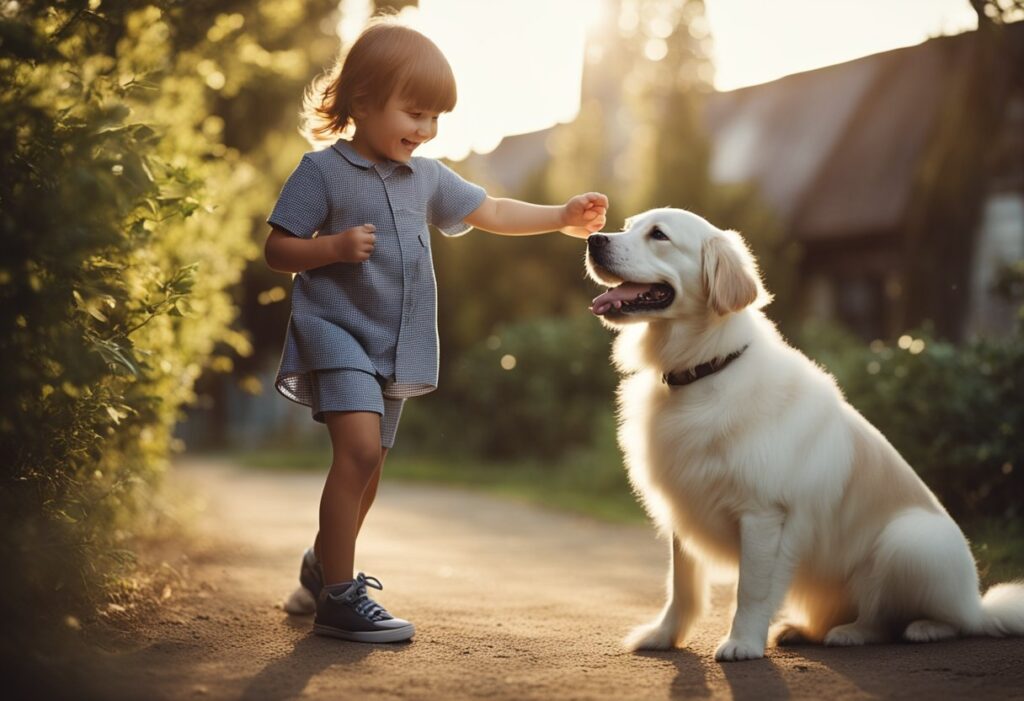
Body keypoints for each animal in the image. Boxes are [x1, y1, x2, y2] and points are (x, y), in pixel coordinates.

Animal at [585, 207, 1024, 663]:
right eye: (628, 225)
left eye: (659, 235)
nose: (594, 240)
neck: (706, 368)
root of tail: (976, 603)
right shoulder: (686, 502)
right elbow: (682, 587)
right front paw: (664, 635)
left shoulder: (762, 513)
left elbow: (751, 590)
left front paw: (742, 643)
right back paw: (804, 629)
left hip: (910, 540)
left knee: (906, 619)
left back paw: (891, 630)